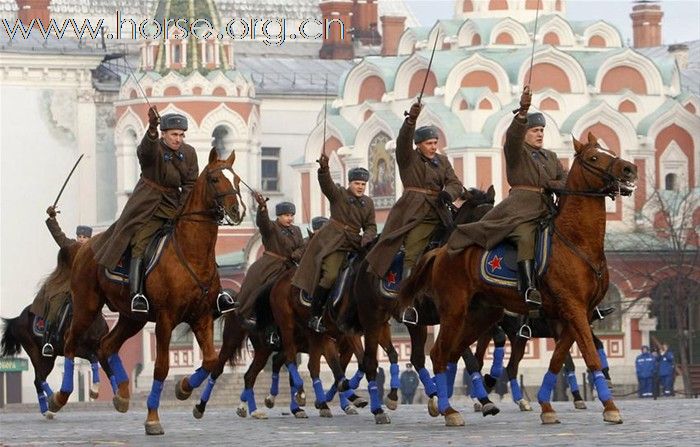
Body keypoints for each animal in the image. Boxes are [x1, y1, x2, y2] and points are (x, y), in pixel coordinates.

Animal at [45, 149, 243, 436]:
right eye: (216, 179)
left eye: (236, 179)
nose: (237, 211)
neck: (192, 253)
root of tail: (83, 247)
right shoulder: (165, 320)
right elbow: (161, 367)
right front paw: (152, 417)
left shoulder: (202, 317)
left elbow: (210, 360)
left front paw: (183, 389)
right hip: (87, 306)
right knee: (72, 342)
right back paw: (60, 397)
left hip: (132, 318)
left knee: (106, 345)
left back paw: (122, 395)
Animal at [400, 134, 636, 428]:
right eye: (594, 157)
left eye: (609, 150)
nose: (629, 169)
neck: (577, 242)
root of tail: (442, 250)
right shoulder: (574, 310)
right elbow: (589, 356)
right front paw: (610, 407)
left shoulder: (576, 314)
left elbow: (559, 360)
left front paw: (546, 405)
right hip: (453, 313)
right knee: (439, 354)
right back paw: (450, 409)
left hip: (482, 317)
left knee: (455, 354)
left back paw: (458, 401)